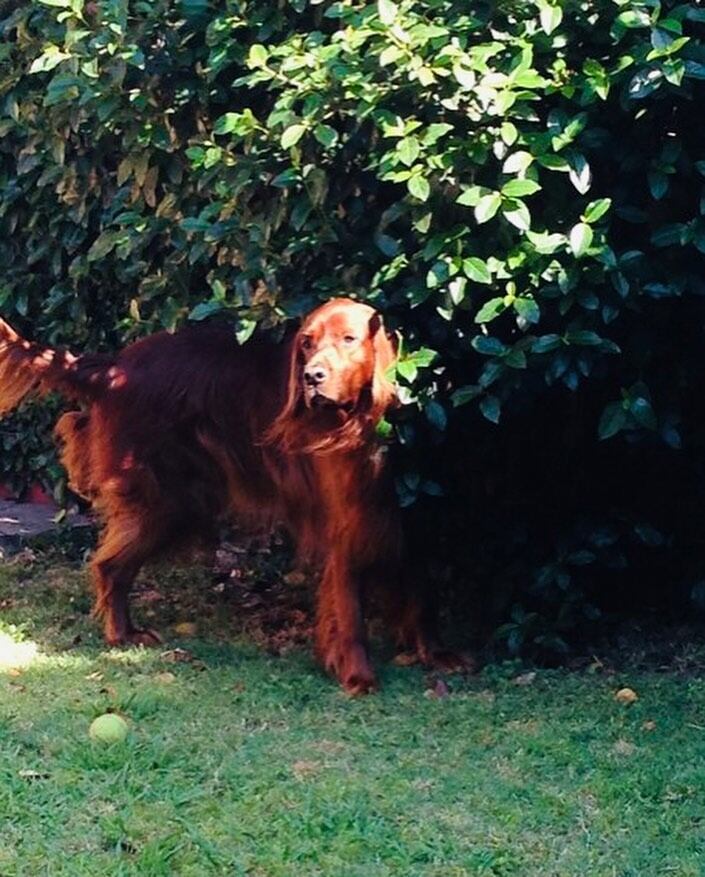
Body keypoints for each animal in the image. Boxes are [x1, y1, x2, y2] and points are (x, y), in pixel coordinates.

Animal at [0, 298, 460, 696]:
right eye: (306, 342)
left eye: (349, 339)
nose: (312, 377)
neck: (363, 423)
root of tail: (115, 368)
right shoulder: (345, 521)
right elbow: (349, 608)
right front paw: (357, 676)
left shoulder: (412, 515)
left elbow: (421, 592)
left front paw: (436, 654)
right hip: (167, 500)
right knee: (112, 566)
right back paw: (122, 634)